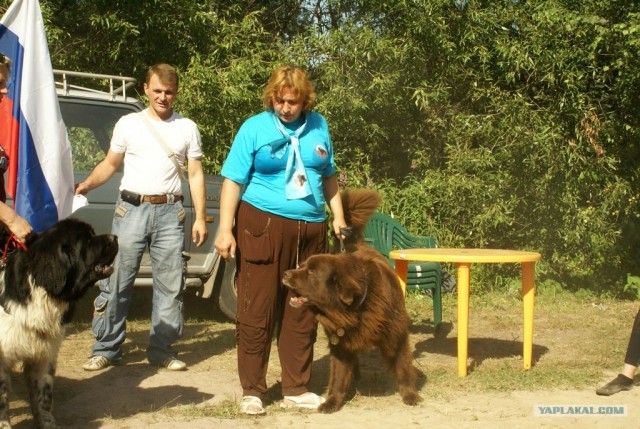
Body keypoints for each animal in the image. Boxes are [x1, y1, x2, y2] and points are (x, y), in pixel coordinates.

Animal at [0, 219, 117, 426]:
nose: (115, 237)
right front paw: (4, 425)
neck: (43, 292)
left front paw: (47, 423)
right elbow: (2, 399)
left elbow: (44, 395)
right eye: (87, 240)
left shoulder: (44, 352)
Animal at [282, 190, 422, 412]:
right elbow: (338, 377)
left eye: (311, 271)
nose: (286, 274)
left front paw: (410, 395)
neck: (358, 309)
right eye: (302, 265)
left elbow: (403, 367)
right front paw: (332, 402)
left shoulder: (396, 335)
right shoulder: (340, 344)